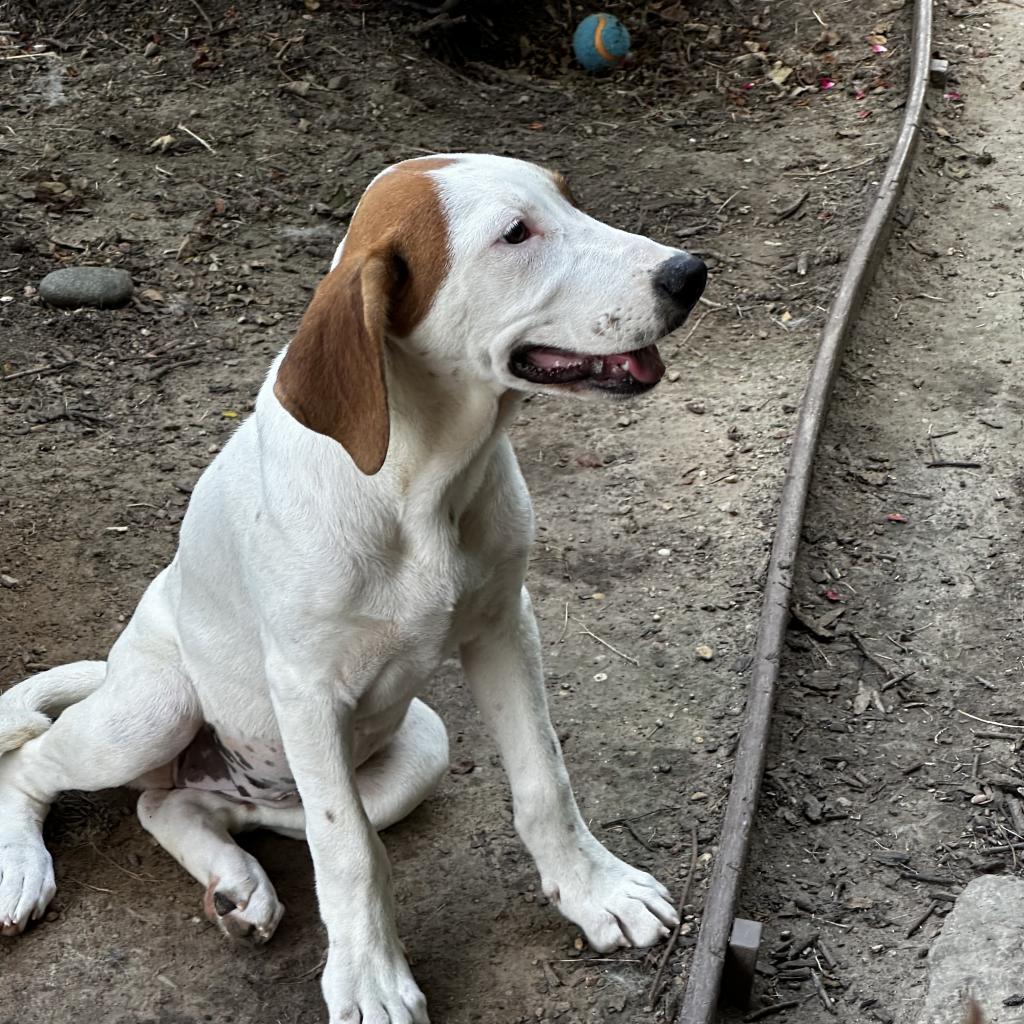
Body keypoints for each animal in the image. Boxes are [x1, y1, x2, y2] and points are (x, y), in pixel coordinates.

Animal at [0, 153, 704, 1024]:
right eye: (515, 234)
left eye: (570, 200)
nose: (691, 273)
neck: (422, 477)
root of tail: (118, 670)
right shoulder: (306, 690)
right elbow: (349, 852)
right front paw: (370, 979)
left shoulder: (506, 624)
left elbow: (544, 779)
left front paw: (594, 891)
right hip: (151, 711)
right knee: (32, 764)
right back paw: (23, 868)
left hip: (418, 748)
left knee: (186, 806)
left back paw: (236, 883)